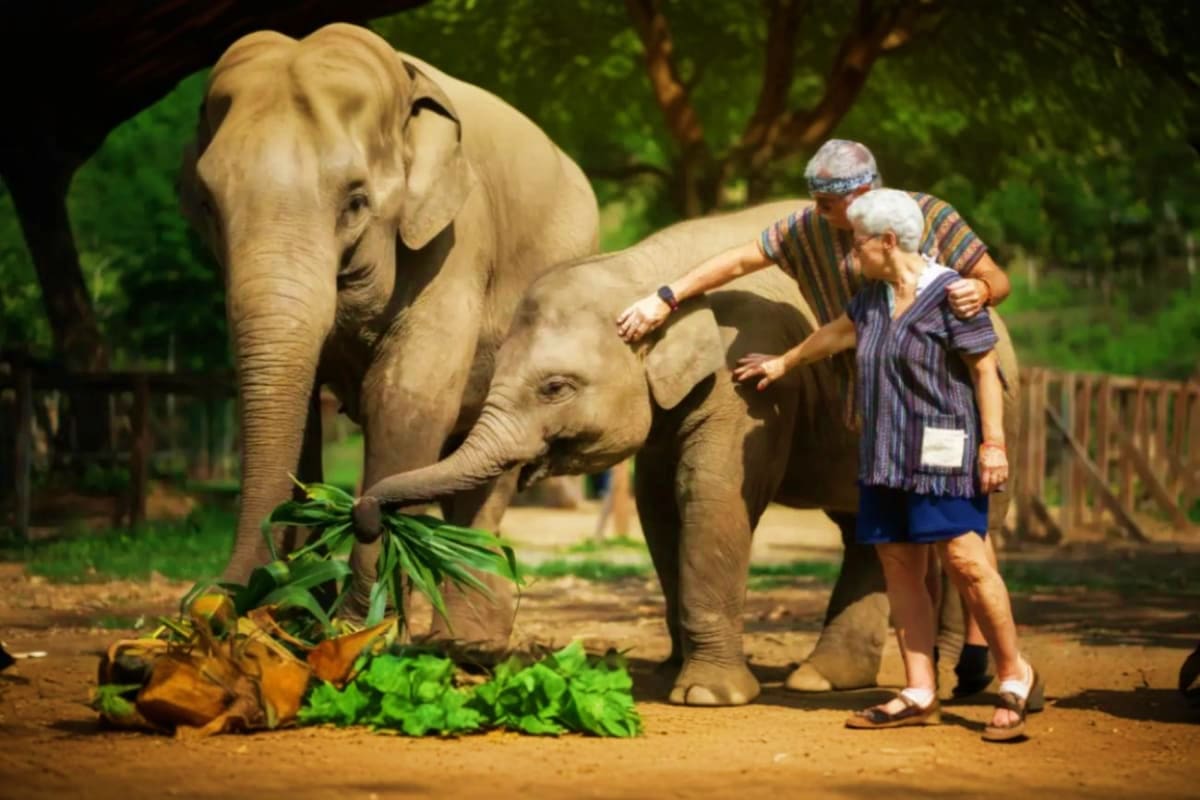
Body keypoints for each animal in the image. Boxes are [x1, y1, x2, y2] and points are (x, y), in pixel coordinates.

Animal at [179, 23, 599, 640]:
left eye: (356, 202)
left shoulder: (458, 237)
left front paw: (355, 631)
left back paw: (471, 642)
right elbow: (302, 410)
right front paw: (296, 618)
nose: (214, 604)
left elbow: (405, 399)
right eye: (208, 204)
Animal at [352, 198, 1021, 706]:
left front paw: (708, 696)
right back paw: (821, 680)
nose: (363, 515)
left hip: (992, 418)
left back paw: (954, 677)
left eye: (556, 388)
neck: (638, 264)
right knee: (866, 529)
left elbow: (710, 496)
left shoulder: (746, 385)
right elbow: (658, 504)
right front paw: (674, 676)